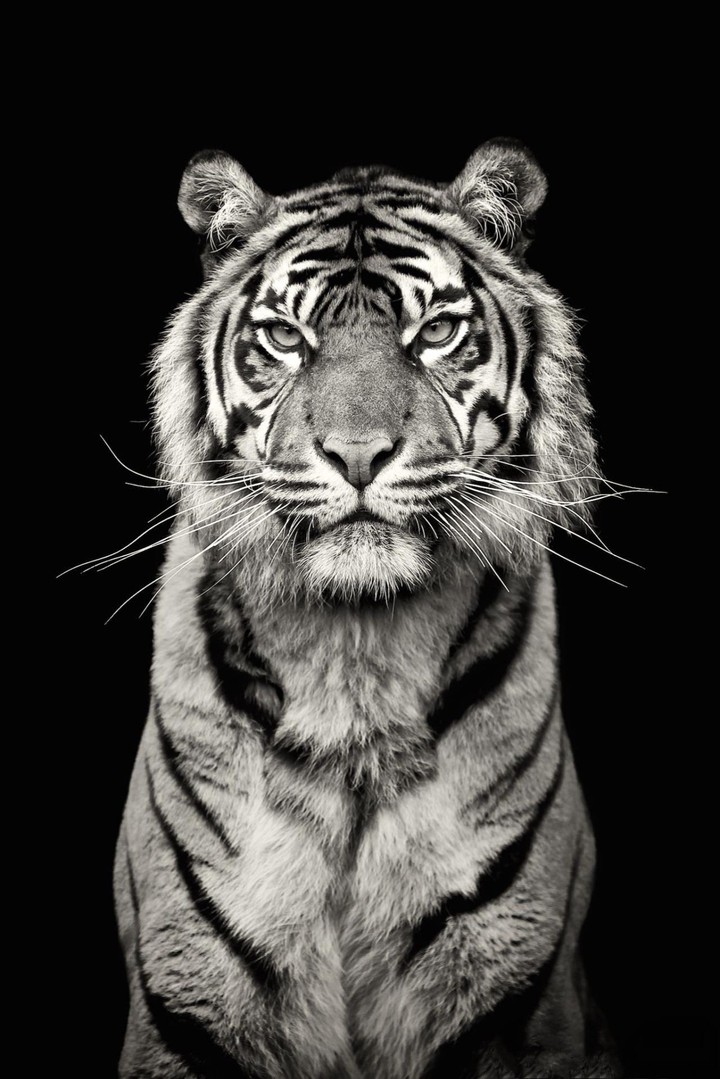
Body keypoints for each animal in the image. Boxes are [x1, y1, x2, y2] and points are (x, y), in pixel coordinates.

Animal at [114, 138, 620, 1078]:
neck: (357, 655)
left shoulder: (518, 1001)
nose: (356, 455)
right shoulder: (185, 994)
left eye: (436, 332)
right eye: (285, 337)